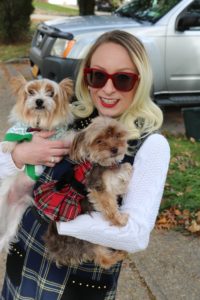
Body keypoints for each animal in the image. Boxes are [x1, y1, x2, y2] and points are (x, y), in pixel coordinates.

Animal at [0, 74, 74, 252]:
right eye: (31, 92)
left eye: (51, 93)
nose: (39, 101)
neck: (39, 124)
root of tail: (13, 200)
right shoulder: (20, 130)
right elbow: (14, 137)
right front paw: (8, 146)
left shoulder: (60, 137)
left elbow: (69, 137)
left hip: (17, 214)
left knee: (6, 235)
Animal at [43, 116, 133, 268]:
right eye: (99, 140)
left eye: (117, 135)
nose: (115, 149)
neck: (102, 163)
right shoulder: (98, 187)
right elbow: (110, 207)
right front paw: (119, 220)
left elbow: (122, 173)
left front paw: (126, 169)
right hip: (89, 241)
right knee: (103, 260)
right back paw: (119, 254)